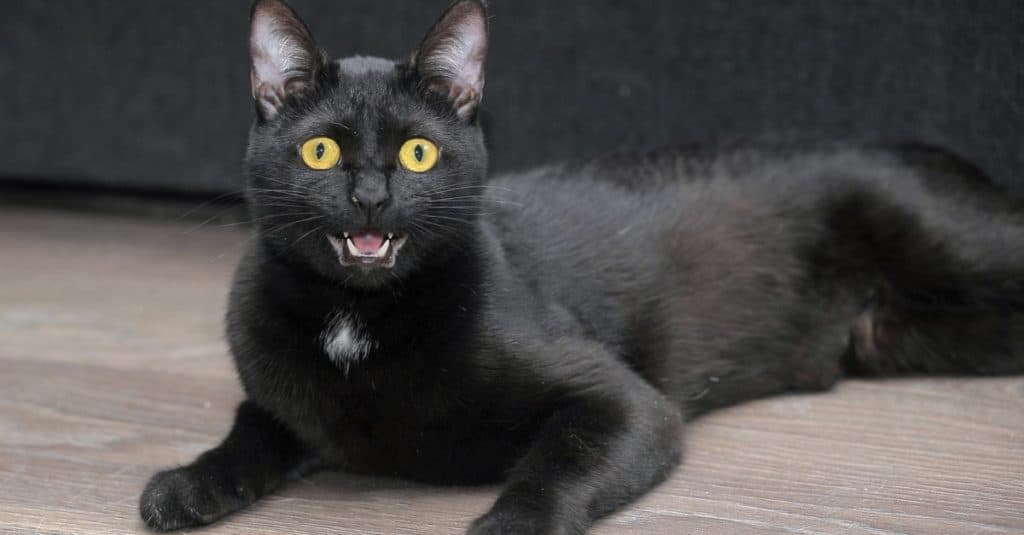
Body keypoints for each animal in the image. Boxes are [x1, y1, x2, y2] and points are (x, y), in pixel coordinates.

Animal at [140, 2, 1024, 528]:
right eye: (320, 150)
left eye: (419, 152)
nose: (369, 196)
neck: (358, 319)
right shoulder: (284, 401)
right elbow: (250, 432)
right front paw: (188, 483)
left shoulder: (627, 405)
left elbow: (552, 469)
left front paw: (505, 526)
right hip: (903, 335)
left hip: (959, 242)